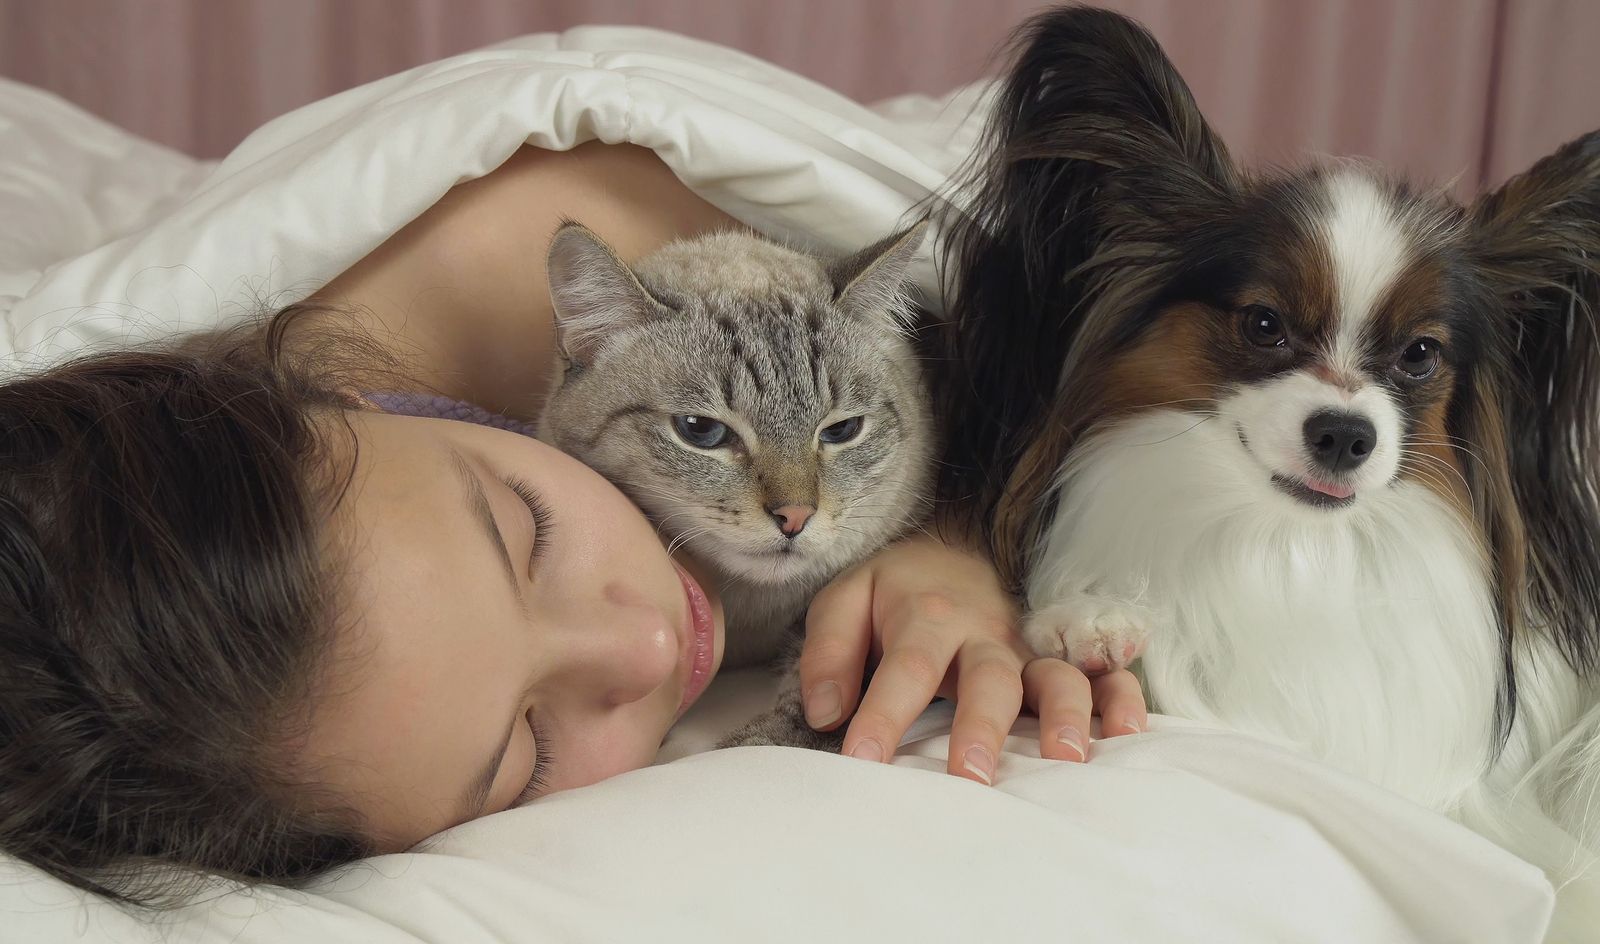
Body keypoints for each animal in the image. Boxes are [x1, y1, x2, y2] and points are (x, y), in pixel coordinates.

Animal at [540, 222, 934, 755]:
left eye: (841, 430)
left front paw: (754, 744)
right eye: (700, 430)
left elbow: (821, 711)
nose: (795, 516)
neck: (747, 617)